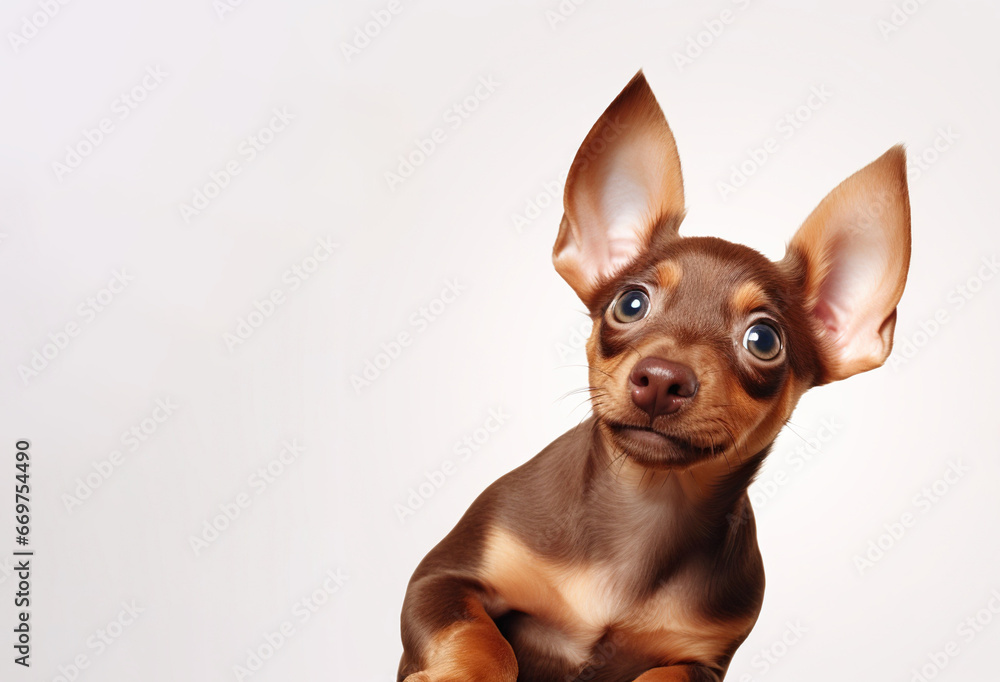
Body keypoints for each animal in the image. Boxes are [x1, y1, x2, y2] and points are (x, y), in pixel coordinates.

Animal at [394, 70, 912, 680]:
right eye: (631, 303)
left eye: (764, 340)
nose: (662, 379)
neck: (647, 509)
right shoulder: (443, 577)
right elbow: (479, 635)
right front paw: (464, 673)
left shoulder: (703, 660)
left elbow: (665, 674)